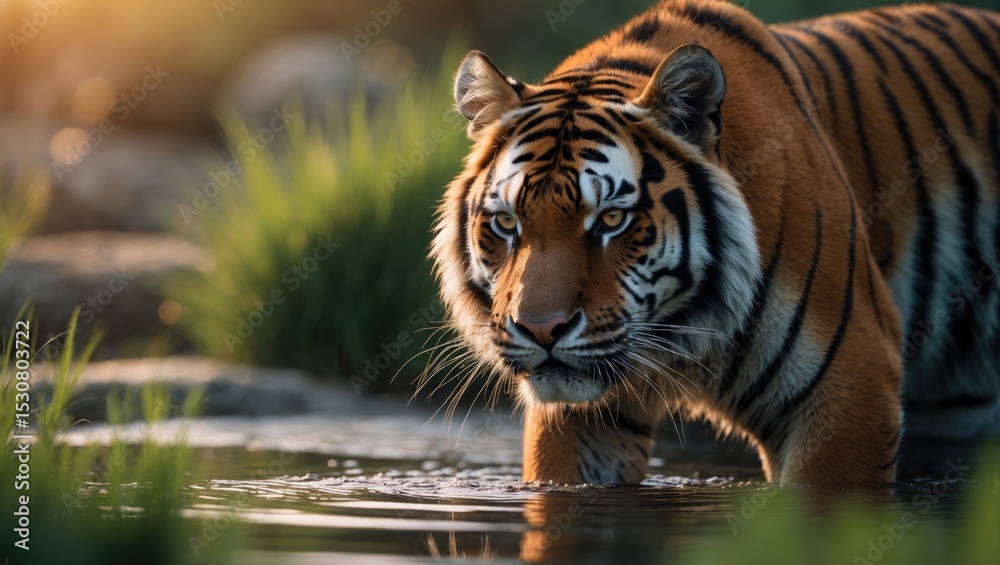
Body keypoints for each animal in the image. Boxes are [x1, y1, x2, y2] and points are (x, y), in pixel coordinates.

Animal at [429, 0, 1000, 484]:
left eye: (611, 219)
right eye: (507, 223)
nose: (541, 330)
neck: (685, 331)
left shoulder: (851, 384)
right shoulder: (582, 418)